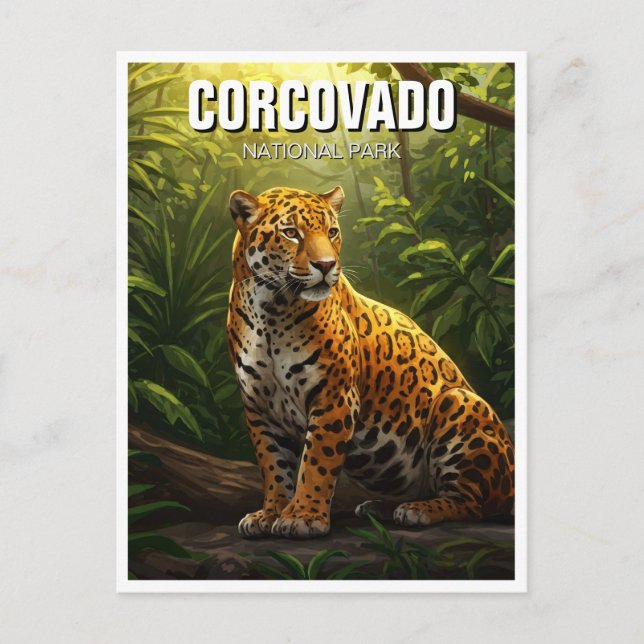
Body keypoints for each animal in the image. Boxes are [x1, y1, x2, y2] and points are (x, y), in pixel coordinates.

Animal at [225, 185, 515, 539]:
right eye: (291, 233)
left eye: (332, 232)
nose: (326, 265)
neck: (269, 309)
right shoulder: (259, 407)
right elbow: (274, 466)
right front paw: (270, 513)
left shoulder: (334, 397)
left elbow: (315, 462)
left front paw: (303, 516)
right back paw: (379, 507)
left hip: (460, 403)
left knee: (473, 503)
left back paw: (418, 511)